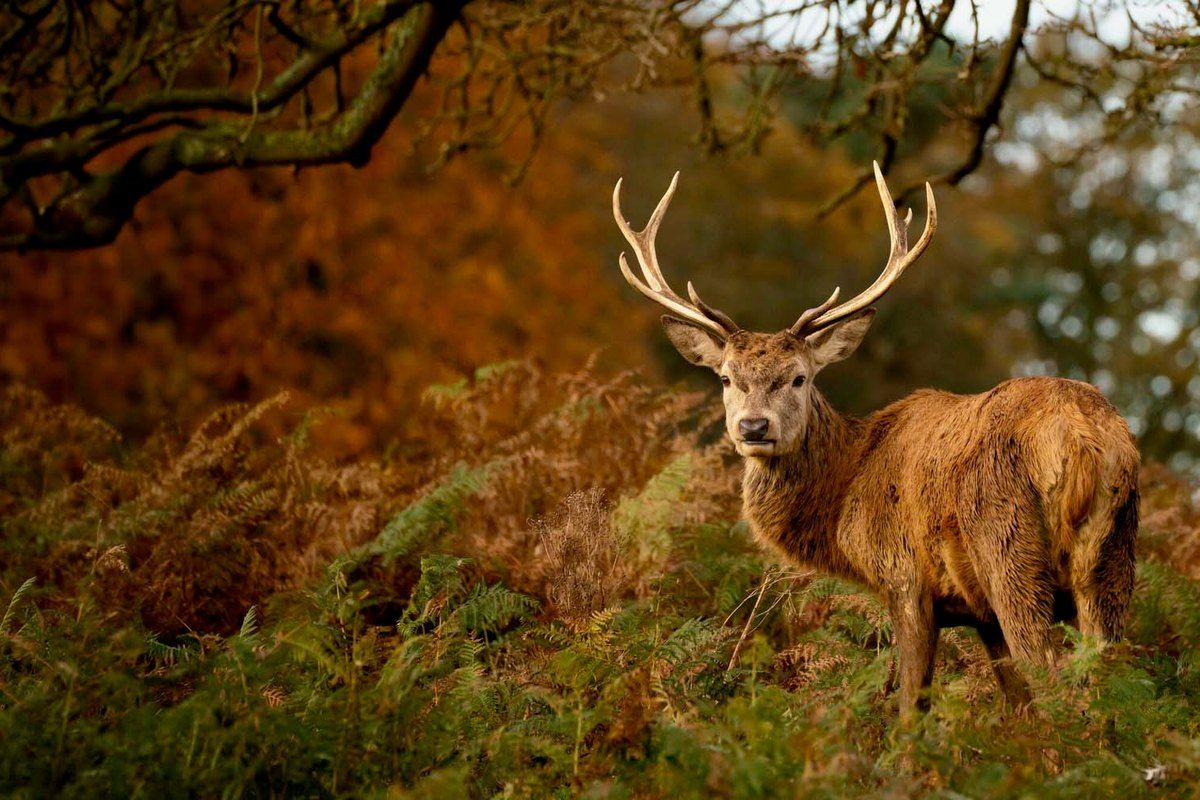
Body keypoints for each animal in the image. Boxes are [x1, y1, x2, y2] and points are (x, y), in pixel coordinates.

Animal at [611, 163, 1140, 715]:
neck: (846, 492)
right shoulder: (979, 614)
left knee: (1057, 680)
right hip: (1112, 563)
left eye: (799, 377)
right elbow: (1017, 705)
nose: (754, 427)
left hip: (1010, 550)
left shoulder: (905, 579)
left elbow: (911, 709)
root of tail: (1083, 441)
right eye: (725, 377)